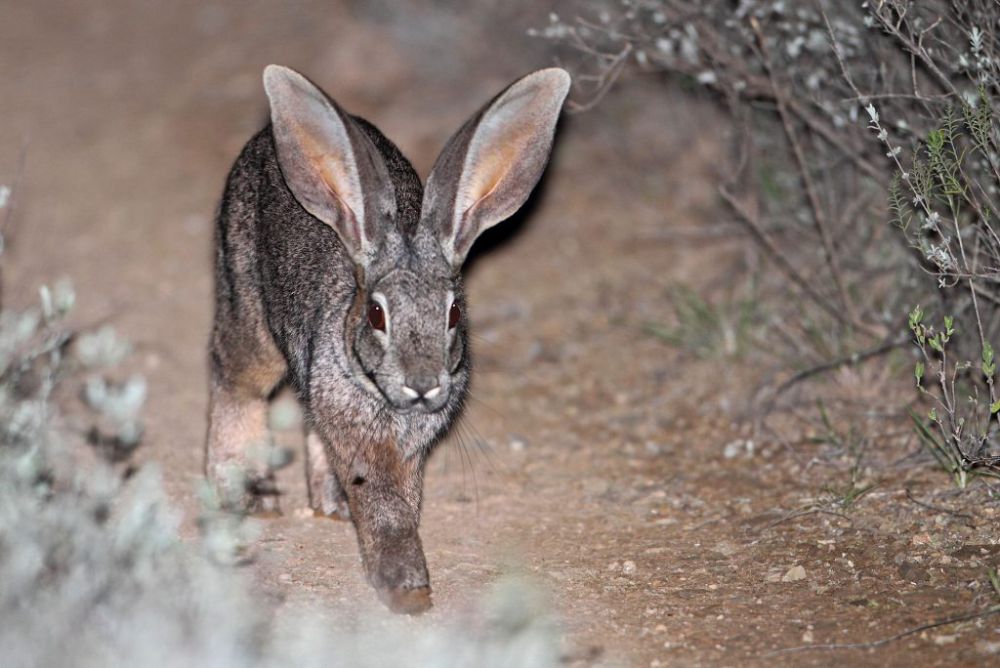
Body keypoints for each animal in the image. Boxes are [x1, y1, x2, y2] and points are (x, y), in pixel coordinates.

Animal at [203, 65, 572, 612]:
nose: (423, 384)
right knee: (234, 378)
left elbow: (402, 501)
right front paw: (405, 587)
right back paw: (247, 493)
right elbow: (383, 504)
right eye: (377, 315)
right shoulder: (362, 440)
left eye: (454, 313)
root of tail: (264, 137)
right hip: (246, 303)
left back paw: (330, 504)